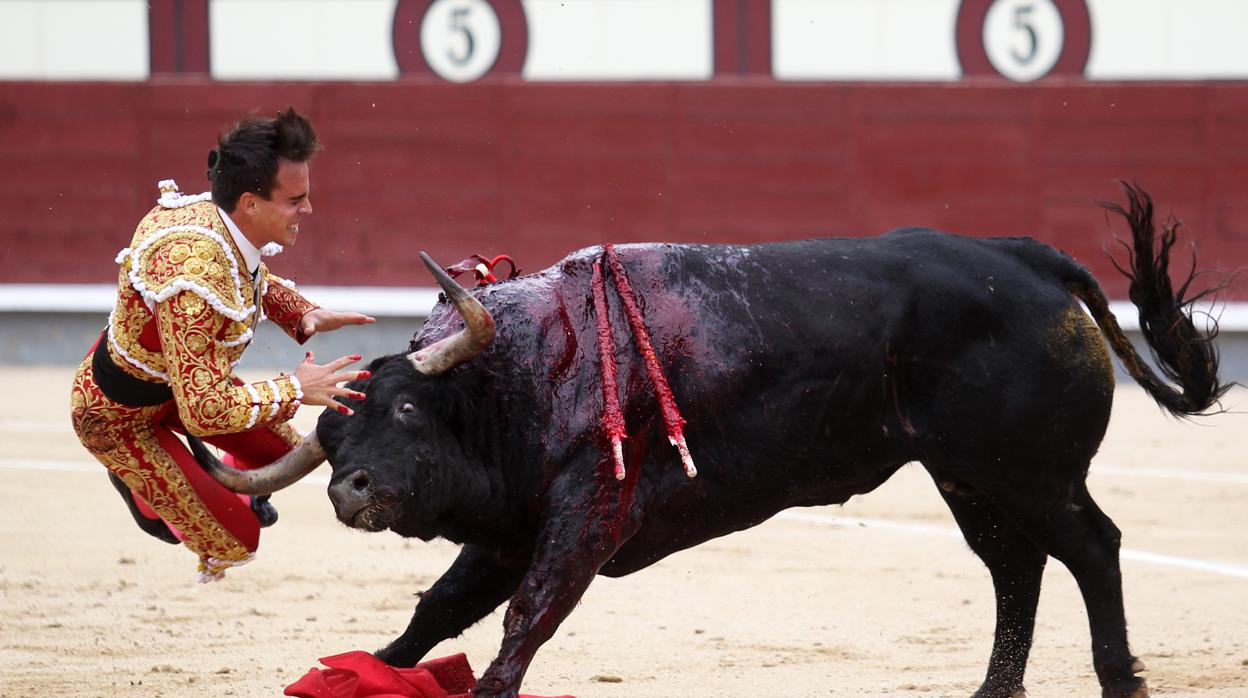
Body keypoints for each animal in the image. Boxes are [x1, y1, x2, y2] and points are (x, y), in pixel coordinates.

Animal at [207, 183, 1228, 694]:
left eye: (409, 412)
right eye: (329, 442)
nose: (349, 490)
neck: (514, 377)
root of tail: (1026, 256)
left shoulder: (586, 515)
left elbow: (522, 624)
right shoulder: (509, 529)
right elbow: (433, 617)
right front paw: (366, 673)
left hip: (1028, 470)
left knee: (1091, 547)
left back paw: (1120, 681)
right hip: (966, 477)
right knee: (1016, 569)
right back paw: (991, 695)